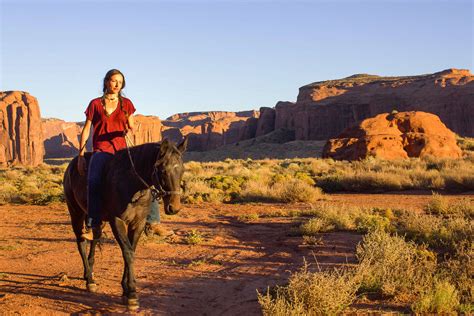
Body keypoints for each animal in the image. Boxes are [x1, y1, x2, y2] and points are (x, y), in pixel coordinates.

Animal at [62, 137, 187, 310]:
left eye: (182, 170)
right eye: (162, 170)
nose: (174, 208)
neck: (132, 184)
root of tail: (73, 163)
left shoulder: (138, 223)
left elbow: (131, 251)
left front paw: (125, 289)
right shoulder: (117, 221)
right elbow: (127, 252)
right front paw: (132, 294)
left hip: (97, 219)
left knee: (94, 238)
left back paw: (90, 272)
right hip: (76, 212)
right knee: (81, 241)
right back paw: (89, 280)